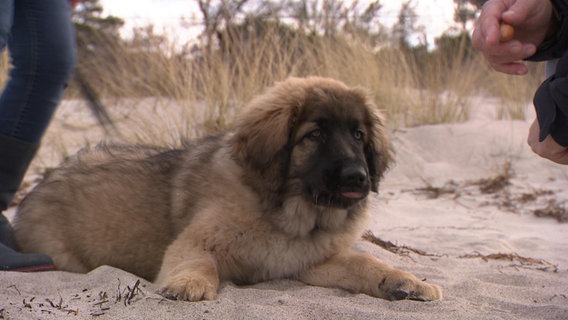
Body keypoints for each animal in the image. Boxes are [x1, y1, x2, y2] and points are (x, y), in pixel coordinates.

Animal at [12, 76, 440, 302]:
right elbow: (200, 261)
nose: (358, 177)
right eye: (315, 135)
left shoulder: (313, 261)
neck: (290, 217)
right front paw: (189, 284)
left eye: (358, 135)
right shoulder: (196, 242)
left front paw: (407, 281)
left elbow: (367, 263)